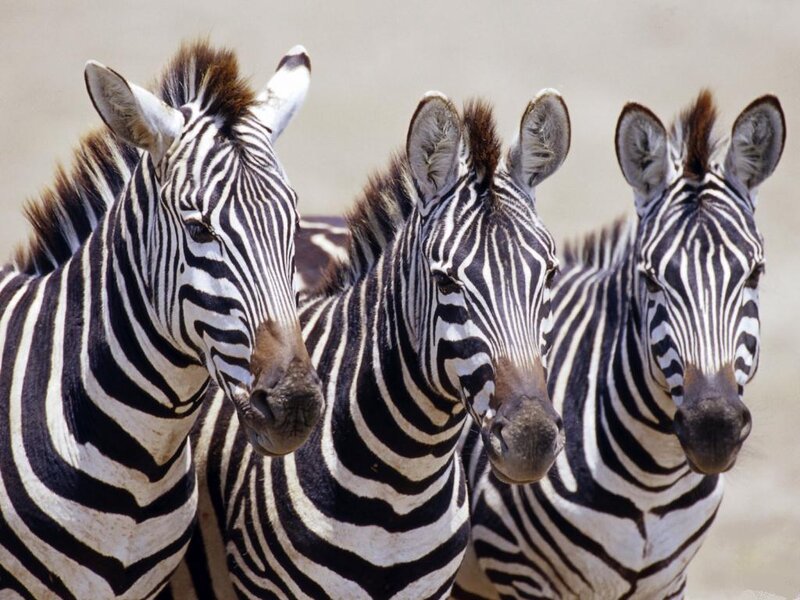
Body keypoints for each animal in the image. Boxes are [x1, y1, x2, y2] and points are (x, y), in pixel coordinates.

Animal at [452, 91, 786, 599]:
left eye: (754, 274)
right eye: (651, 279)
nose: (713, 429)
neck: (653, 478)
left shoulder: (668, 583)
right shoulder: (521, 574)